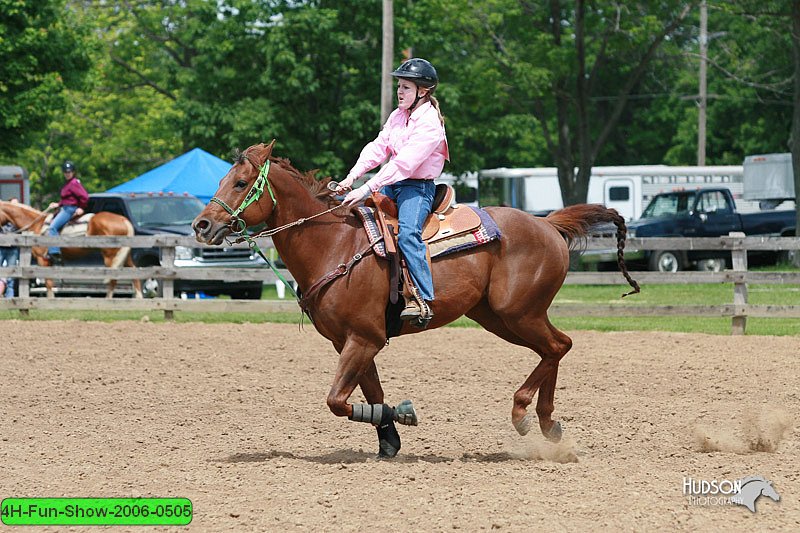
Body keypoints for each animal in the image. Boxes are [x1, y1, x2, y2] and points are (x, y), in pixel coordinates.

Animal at [0, 201, 142, 300]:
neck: (37, 225)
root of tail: (123, 219)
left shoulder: (43, 259)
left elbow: (49, 282)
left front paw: (50, 300)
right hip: (124, 255)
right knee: (134, 273)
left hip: (111, 256)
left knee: (114, 277)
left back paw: (108, 299)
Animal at [191, 142, 640, 458]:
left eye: (240, 183)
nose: (202, 225)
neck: (334, 243)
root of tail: (548, 224)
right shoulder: (352, 341)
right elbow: (368, 394)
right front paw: (390, 439)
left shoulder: (364, 338)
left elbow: (337, 400)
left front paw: (404, 413)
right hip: (499, 318)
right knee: (555, 348)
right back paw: (549, 424)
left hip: (519, 313)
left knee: (558, 346)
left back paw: (524, 414)